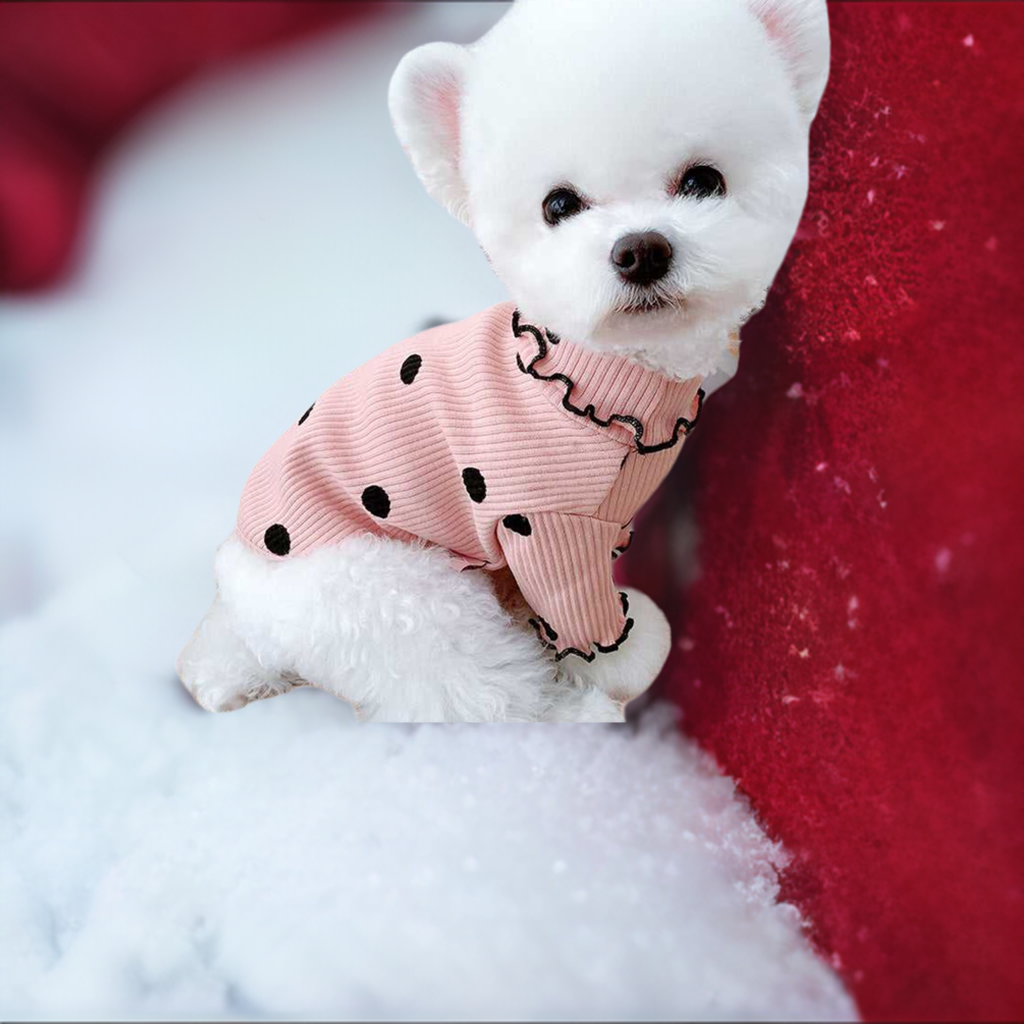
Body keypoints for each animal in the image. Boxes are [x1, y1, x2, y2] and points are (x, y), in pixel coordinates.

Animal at [178, 0, 831, 724]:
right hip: (400, 600)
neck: (599, 368)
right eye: (559, 205)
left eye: (703, 181)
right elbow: (596, 625)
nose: (641, 250)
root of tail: (244, 598)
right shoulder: (546, 528)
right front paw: (611, 669)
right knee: (480, 688)